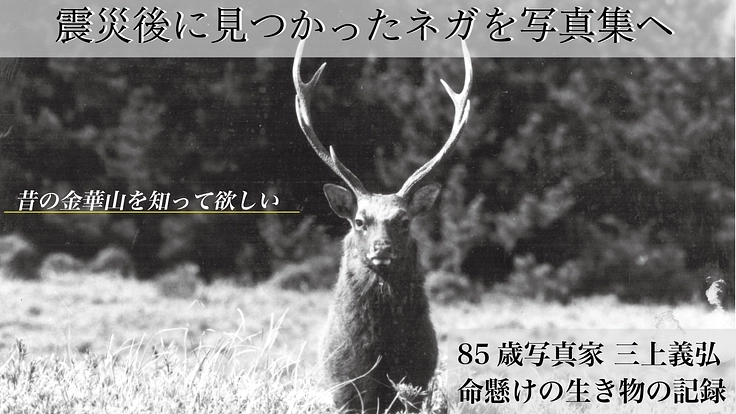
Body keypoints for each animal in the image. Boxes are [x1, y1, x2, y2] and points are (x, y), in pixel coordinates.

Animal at [293, 39, 472, 413]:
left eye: (403, 221)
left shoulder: (418, 378)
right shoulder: (343, 385)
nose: (382, 248)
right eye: (360, 221)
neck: (381, 353)